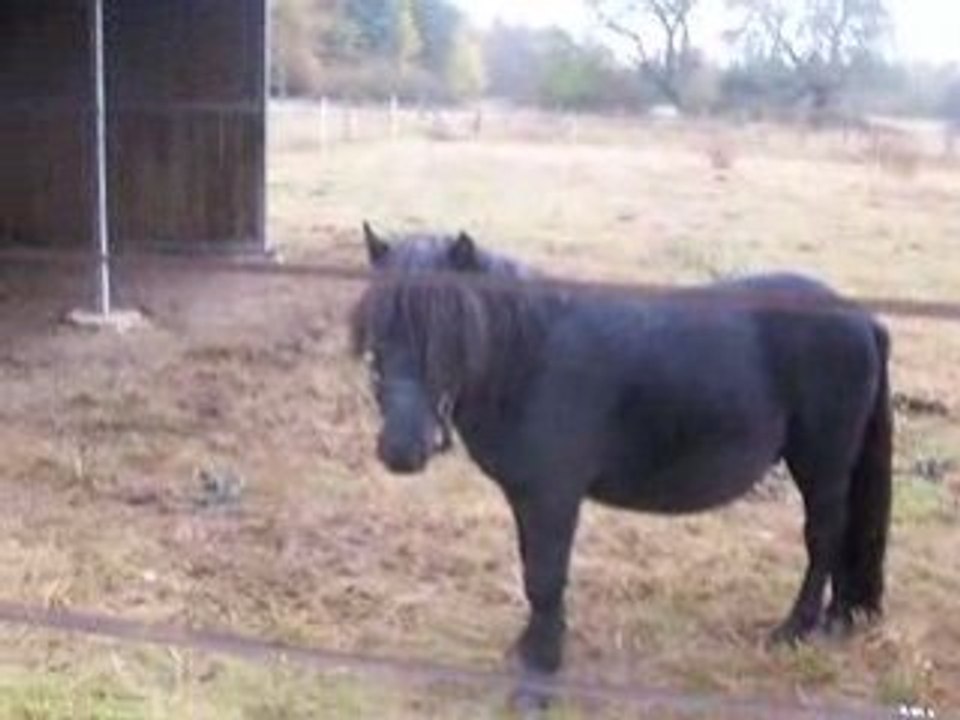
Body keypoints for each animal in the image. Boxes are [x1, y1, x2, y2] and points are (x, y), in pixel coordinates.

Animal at [349, 222, 893, 698]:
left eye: (449, 332)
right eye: (377, 333)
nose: (402, 448)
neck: (533, 356)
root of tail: (860, 317)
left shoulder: (554, 497)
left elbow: (545, 577)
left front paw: (539, 672)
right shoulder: (527, 499)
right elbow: (533, 573)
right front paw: (528, 650)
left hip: (821, 466)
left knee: (823, 539)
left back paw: (795, 629)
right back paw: (837, 618)